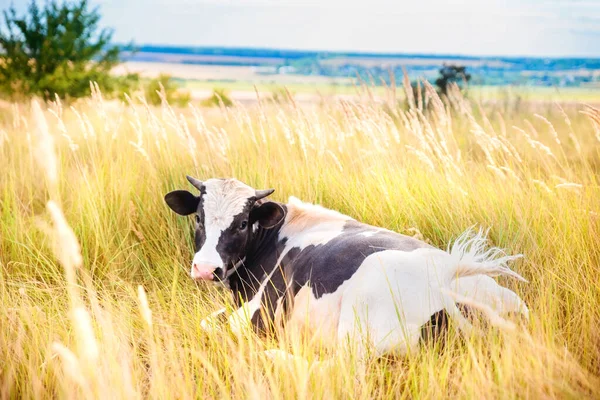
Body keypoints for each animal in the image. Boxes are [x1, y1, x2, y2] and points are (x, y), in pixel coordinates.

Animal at [165, 177, 528, 358]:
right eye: (198, 218)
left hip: (362, 320)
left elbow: (211, 326)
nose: (206, 269)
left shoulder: (259, 315)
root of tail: (450, 271)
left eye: (242, 223)